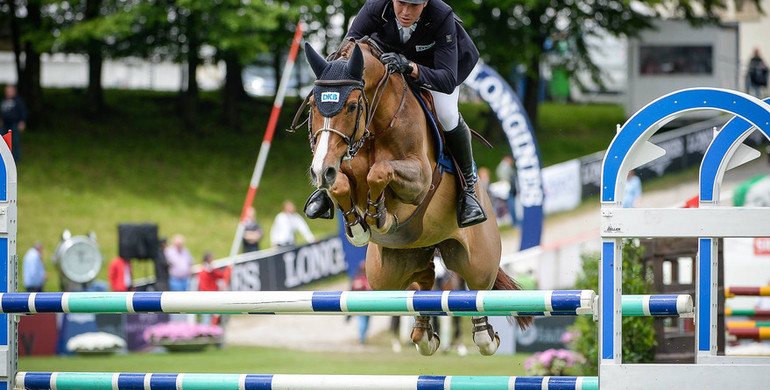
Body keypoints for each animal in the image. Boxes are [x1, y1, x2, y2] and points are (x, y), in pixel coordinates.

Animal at [296, 38, 532, 354]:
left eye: (352, 106)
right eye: (313, 104)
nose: (320, 170)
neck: (376, 124)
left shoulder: (419, 180)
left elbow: (379, 172)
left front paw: (378, 216)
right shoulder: (340, 168)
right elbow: (342, 185)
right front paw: (358, 225)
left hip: (475, 259)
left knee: (476, 289)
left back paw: (485, 336)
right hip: (387, 273)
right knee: (424, 280)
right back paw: (424, 333)